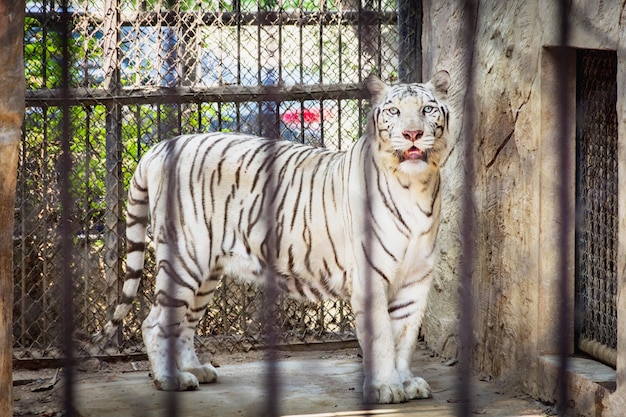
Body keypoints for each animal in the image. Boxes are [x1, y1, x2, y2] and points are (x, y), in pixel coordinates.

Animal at [94, 71, 448, 404]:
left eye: (427, 109)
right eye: (393, 111)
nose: (412, 134)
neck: (414, 186)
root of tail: (158, 148)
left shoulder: (416, 281)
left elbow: (404, 338)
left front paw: (406, 383)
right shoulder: (370, 278)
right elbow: (383, 340)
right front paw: (385, 388)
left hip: (206, 271)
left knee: (184, 323)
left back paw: (194, 370)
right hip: (186, 260)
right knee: (154, 323)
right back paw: (170, 380)